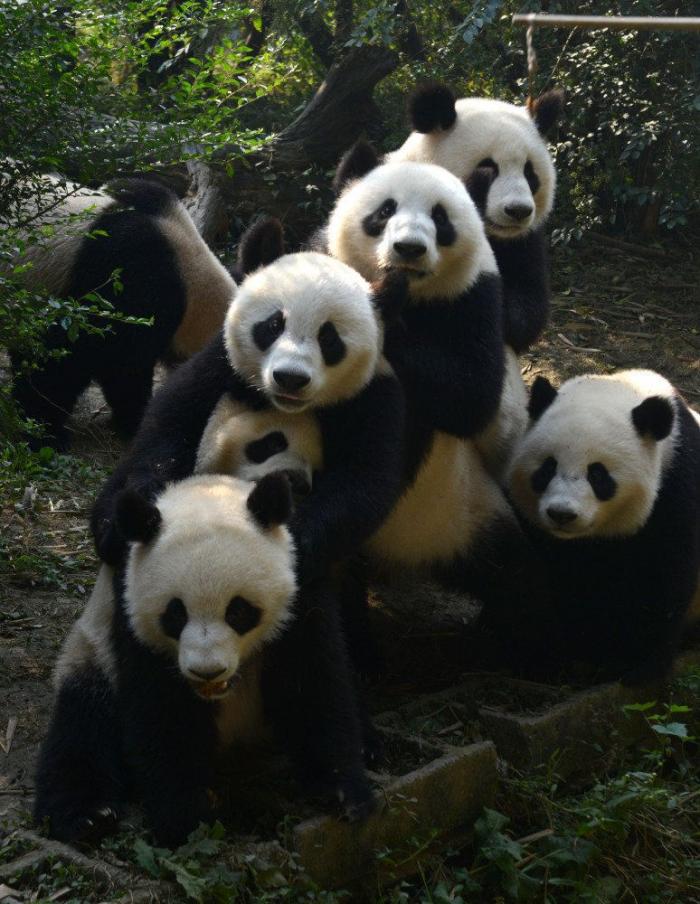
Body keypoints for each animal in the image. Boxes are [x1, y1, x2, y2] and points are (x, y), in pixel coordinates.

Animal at [35, 473, 374, 847]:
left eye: (238, 611)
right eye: (175, 614)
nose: (207, 671)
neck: (207, 493)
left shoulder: (301, 595)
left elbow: (314, 685)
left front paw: (342, 792)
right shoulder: (130, 614)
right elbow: (164, 713)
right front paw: (186, 818)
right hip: (92, 658)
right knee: (82, 727)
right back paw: (87, 816)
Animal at [390, 83, 564, 355]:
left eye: (529, 172)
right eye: (488, 167)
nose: (518, 210)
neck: (492, 235)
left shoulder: (524, 241)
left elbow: (529, 305)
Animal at [508, 369, 700, 684]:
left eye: (598, 475)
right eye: (547, 468)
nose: (561, 514)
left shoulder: (677, 487)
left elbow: (666, 577)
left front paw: (641, 668)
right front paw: (551, 660)